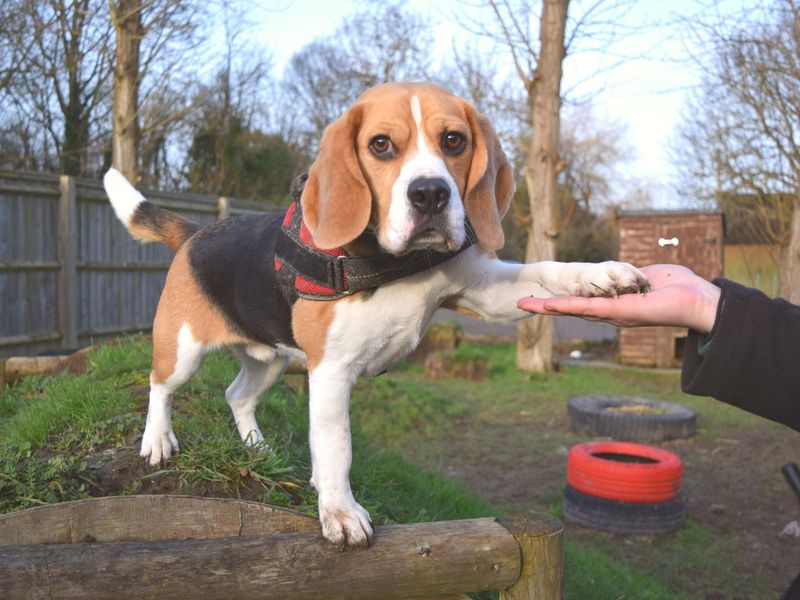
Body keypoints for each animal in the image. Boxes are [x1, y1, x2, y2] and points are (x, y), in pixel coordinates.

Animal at [103, 82, 648, 548]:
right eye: (381, 145)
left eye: (454, 140)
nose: (430, 194)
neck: (391, 261)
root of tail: (196, 233)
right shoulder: (330, 371)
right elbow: (337, 445)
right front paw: (341, 513)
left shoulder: (482, 291)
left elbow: (546, 271)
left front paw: (603, 275)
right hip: (184, 348)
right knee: (159, 386)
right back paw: (157, 440)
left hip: (272, 360)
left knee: (236, 394)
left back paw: (257, 448)